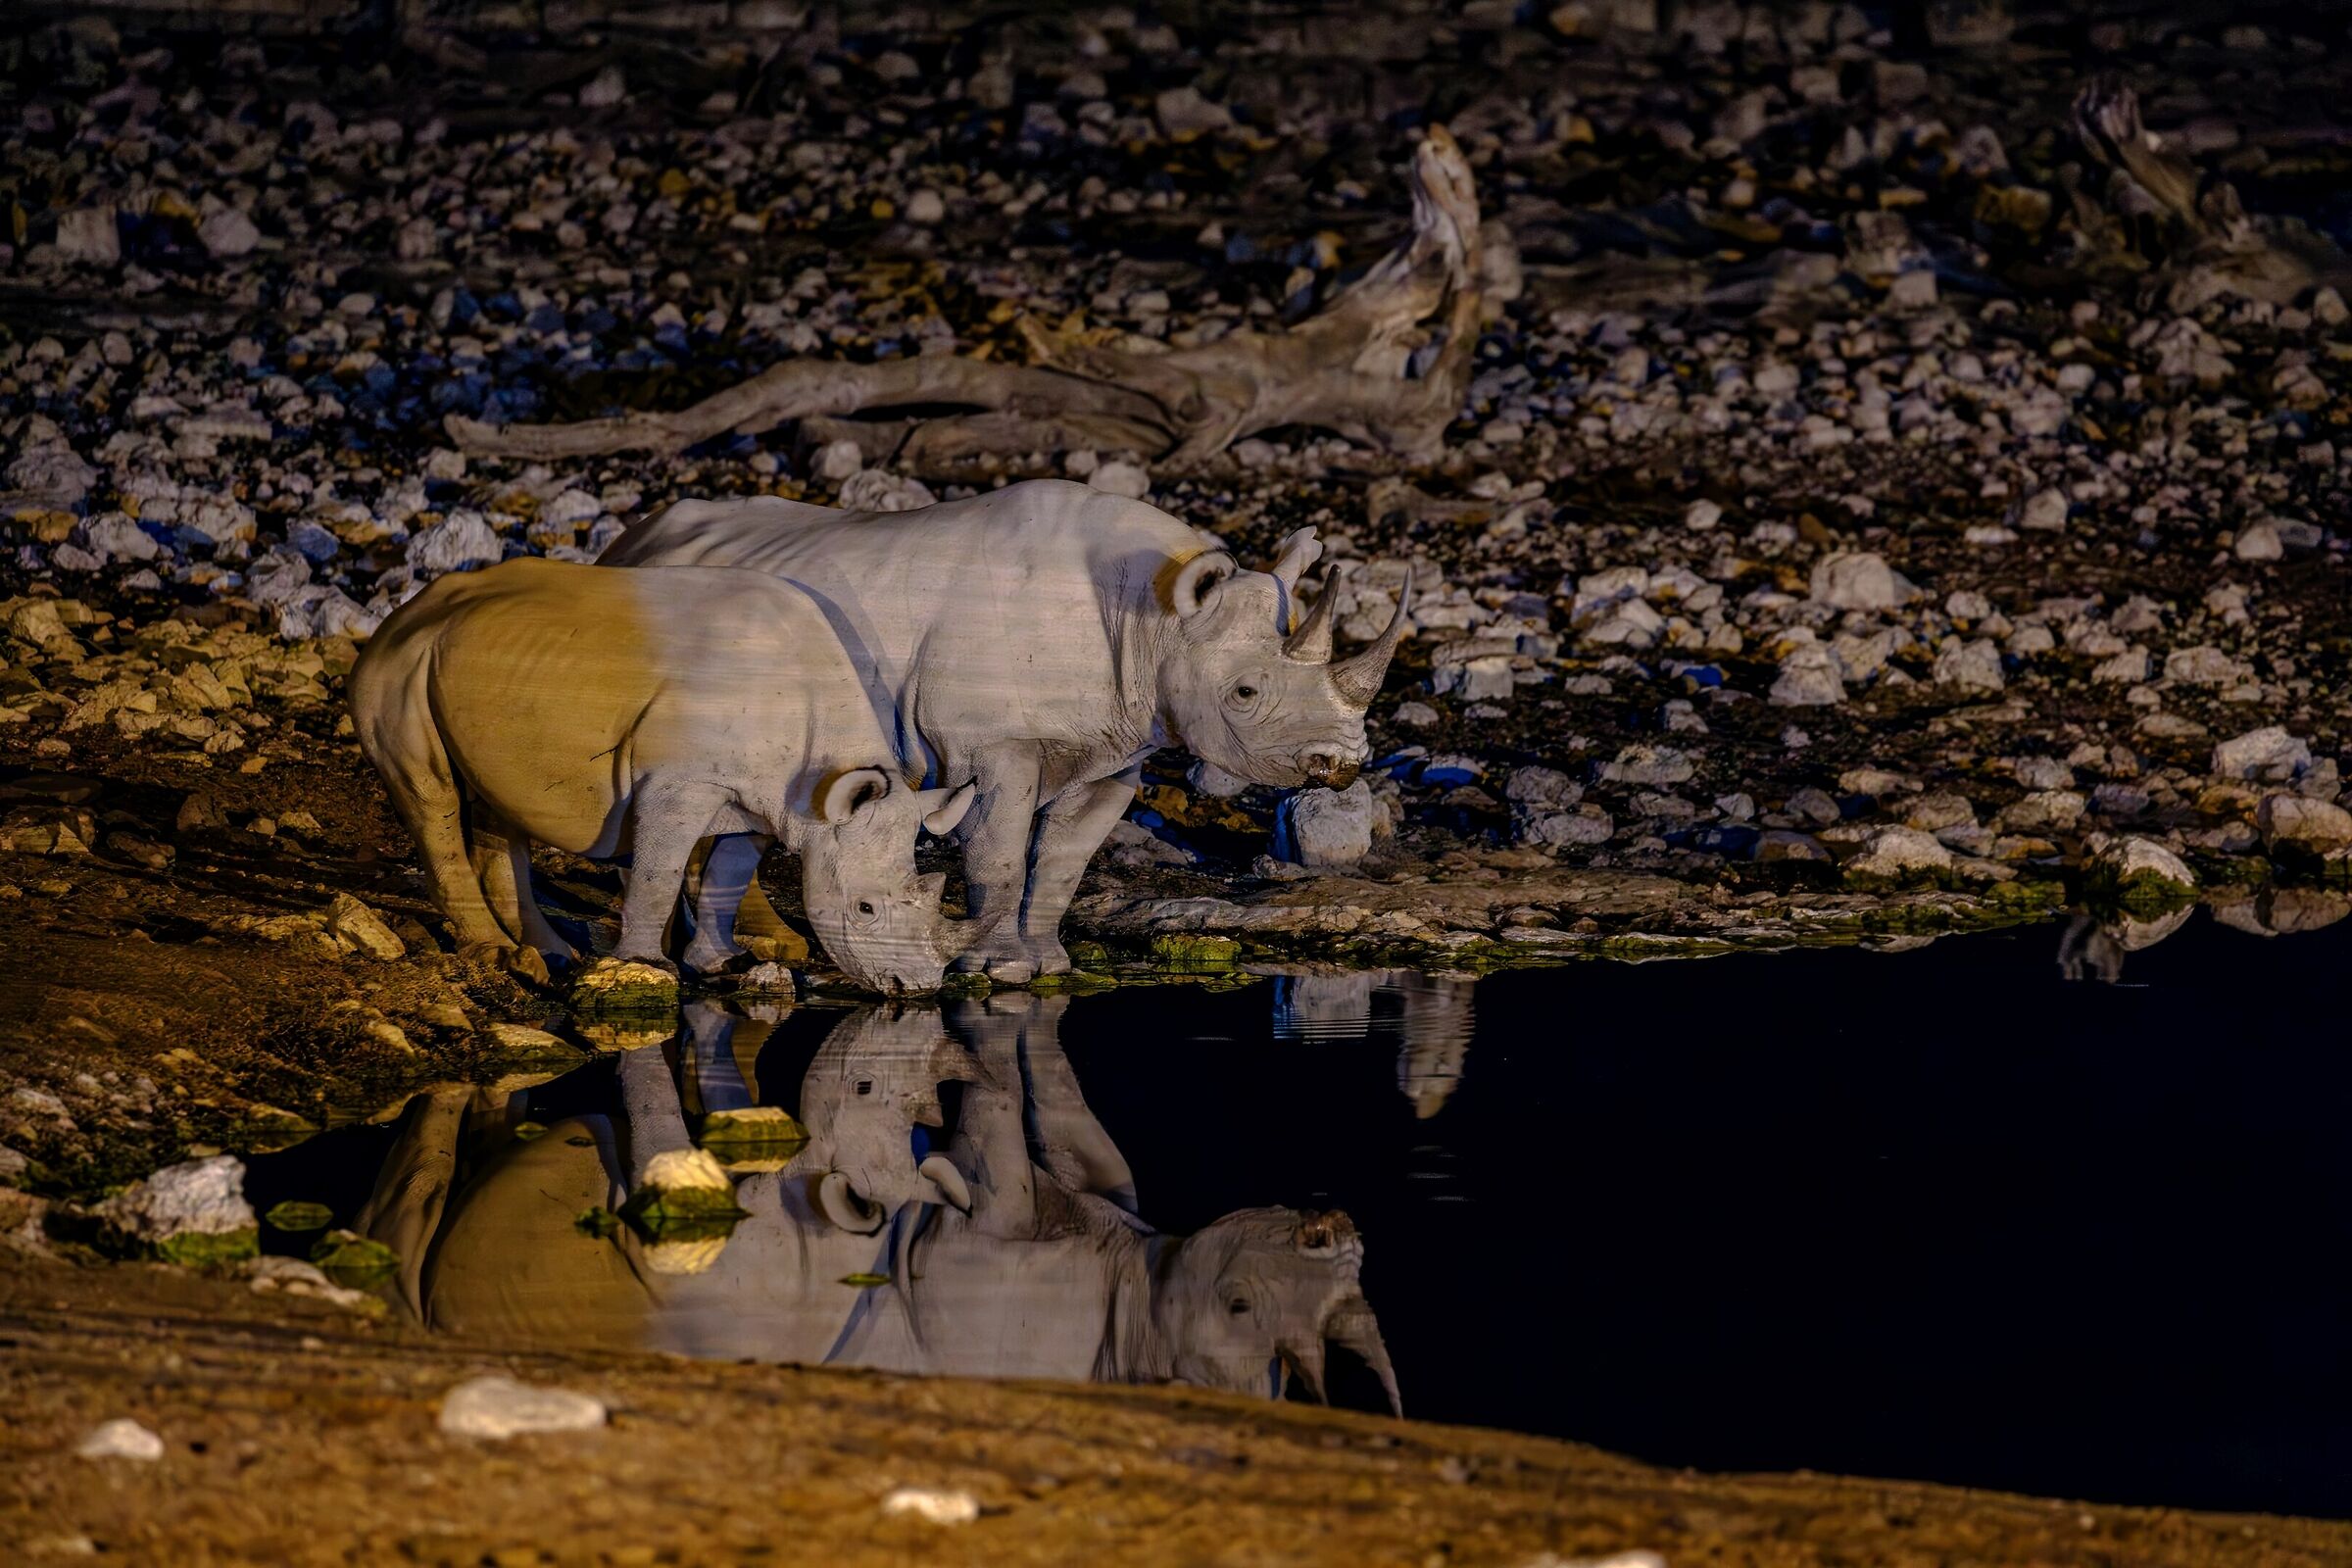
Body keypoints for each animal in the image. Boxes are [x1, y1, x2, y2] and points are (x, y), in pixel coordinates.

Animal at [347, 556, 978, 992]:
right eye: (866, 910)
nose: (914, 990)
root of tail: (407, 610)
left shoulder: (773, 798)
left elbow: (729, 869)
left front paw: (719, 961)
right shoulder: (678, 784)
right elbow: (660, 870)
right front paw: (645, 965)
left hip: (466, 664)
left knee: (496, 802)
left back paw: (545, 955)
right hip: (397, 662)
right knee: (431, 793)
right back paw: (492, 953)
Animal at [360, 996, 1399, 1413]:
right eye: (1239, 1304)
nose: (1335, 1223)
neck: (1135, 1314)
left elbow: (1063, 1126)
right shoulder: (990, 1252)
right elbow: (1006, 1137)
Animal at [599, 479, 1411, 981]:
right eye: (1244, 693)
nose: (1340, 766)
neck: (1156, 618)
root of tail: (625, 545)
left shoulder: (1118, 748)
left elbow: (1062, 863)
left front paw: (1050, 962)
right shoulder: (996, 744)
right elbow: (1000, 855)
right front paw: (1001, 968)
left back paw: (723, 964)